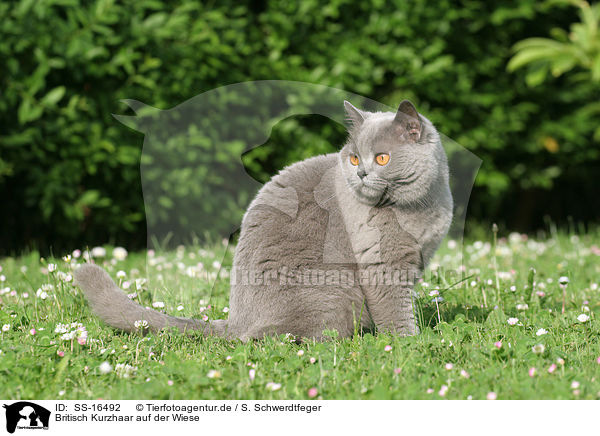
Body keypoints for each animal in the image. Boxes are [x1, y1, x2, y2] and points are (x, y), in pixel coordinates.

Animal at [74, 101, 450, 340]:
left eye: (382, 158)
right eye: (355, 157)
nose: (360, 173)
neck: (417, 207)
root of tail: (235, 320)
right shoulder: (383, 263)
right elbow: (394, 310)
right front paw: (408, 344)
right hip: (331, 291)